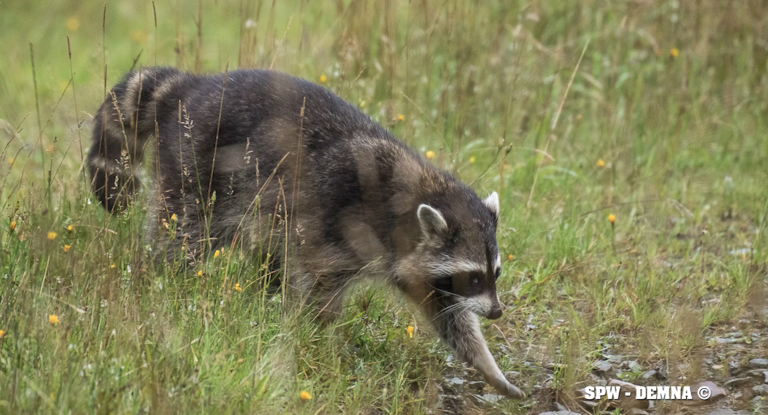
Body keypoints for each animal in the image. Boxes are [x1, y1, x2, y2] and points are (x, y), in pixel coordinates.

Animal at [87, 68, 524, 400]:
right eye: (474, 277)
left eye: (495, 273)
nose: (497, 311)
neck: (418, 193)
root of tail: (190, 86)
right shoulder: (340, 222)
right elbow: (317, 284)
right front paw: (317, 334)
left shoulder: (415, 265)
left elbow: (448, 314)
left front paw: (488, 365)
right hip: (197, 160)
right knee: (184, 230)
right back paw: (169, 273)